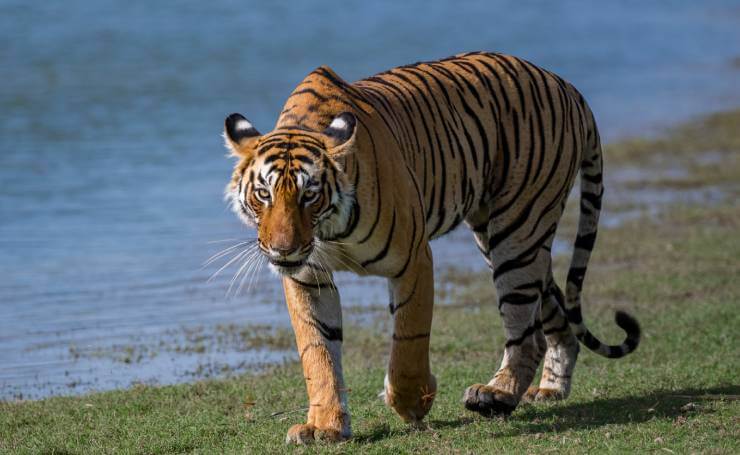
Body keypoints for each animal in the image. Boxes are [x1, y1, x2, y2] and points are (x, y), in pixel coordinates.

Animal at [221, 50, 640, 446]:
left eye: (309, 195)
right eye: (264, 194)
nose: (283, 250)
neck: (329, 229)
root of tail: (564, 83)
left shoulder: (413, 258)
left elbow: (409, 339)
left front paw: (411, 404)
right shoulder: (308, 278)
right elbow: (318, 352)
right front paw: (325, 427)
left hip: (517, 230)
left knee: (525, 329)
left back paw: (495, 395)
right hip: (505, 236)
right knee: (552, 321)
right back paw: (549, 390)